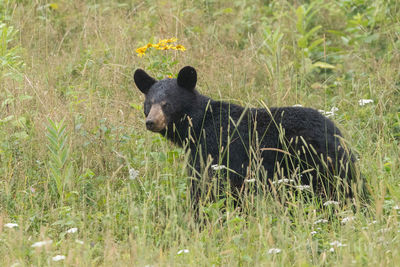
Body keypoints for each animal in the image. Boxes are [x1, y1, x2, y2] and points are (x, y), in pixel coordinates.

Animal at [134, 66, 366, 204]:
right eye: (149, 104)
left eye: (167, 104)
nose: (151, 122)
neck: (200, 124)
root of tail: (334, 130)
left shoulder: (215, 149)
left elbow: (206, 186)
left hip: (314, 161)